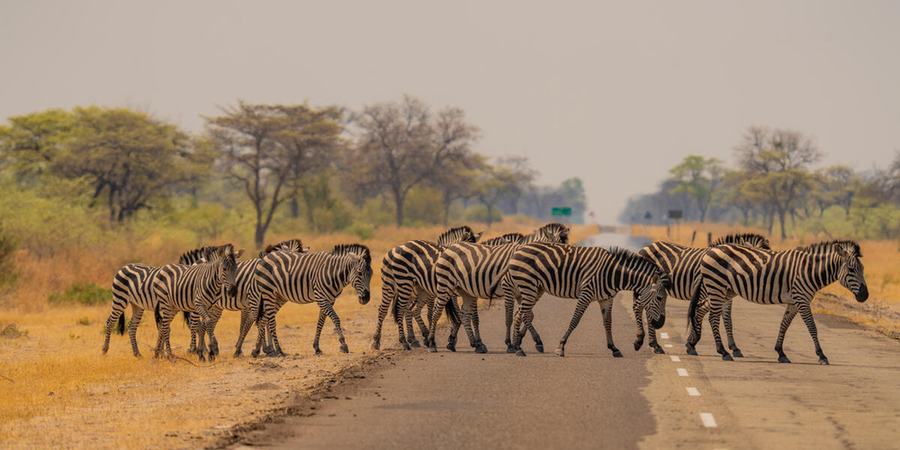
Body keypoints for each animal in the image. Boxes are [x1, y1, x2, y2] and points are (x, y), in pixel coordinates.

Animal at [178, 239, 307, 357]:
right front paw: (260, 348)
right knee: (196, 323)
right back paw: (195, 349)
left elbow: (257, 323)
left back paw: (209, 348)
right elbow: (252, 324)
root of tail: (196, 262)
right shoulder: (252, 302)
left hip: (214, 306)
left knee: (206, 323)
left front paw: (264, 348)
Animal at [427, 223, 571, 353]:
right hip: (446, 286)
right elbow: (509, 317)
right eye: (555, 252)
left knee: (463, 314)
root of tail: (450, 248)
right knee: (438, 312)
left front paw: (522, 340)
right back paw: (432, 343)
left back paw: (470, 344)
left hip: (462, 290)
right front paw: (511, 344)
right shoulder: (509, 288)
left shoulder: (521, 293)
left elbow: (527, 315)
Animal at [507, 244, 670, 357]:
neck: (613, 274)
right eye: (660, 298)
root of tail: (518, 250)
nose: (660, 324)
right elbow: (575, 320)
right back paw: (535, 343)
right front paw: (561, 346)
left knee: (519, 313)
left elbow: (607, 323)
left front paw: (614, 348)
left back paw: (517, 346)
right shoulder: (586, 294)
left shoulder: (606, 299)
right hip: (528, 285)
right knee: (525, 313)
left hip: (536, 288)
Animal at [636, 233, 770, 356]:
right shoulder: (707, 292)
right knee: (639, 306)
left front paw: (734, 347)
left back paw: (654, 344)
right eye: (758, 262)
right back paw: (651, 343)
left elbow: (728, 320)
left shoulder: (725, 296)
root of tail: (646, 247)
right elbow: (697, 313)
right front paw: (692, 342)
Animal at [688, 240, 868, 363]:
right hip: (716, 286)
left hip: (725, 290)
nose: (865, 296)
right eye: (851, 269)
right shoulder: (802, 299)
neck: (810, 270)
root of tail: (711, 249)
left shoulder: (794, 302)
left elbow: (784, 324)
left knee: (701, 309)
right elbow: (812, 327)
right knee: (712, 317)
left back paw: (692, 344)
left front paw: (781, 353)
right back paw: (723, 352)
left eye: (863, 269)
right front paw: (822, 355)